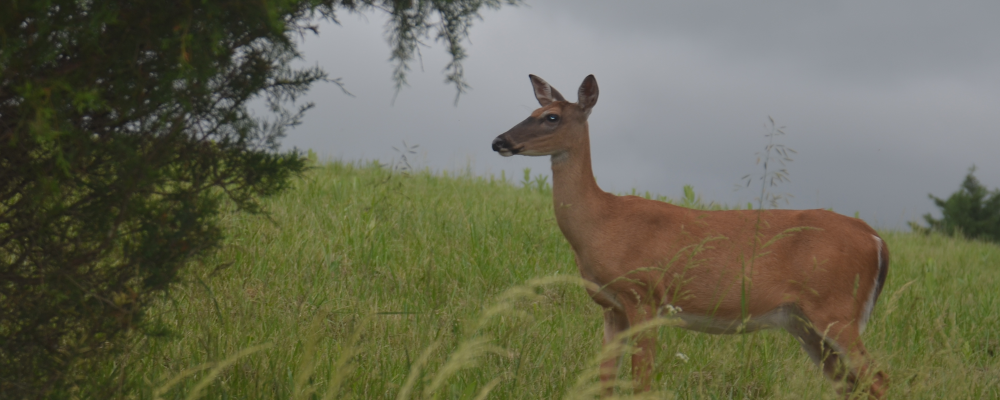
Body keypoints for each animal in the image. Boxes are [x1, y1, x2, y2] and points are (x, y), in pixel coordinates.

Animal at [492, 74, 892, 396]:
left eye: (551, 117)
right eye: (533, 110)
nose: (499, 141)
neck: (602, 223)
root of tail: (877, 239)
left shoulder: (644, 294)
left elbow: (641, 383)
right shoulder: (611, 307)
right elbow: (606, 381)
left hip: (836, 309)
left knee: (878, 379)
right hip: (805, 323)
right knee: (850, 385)